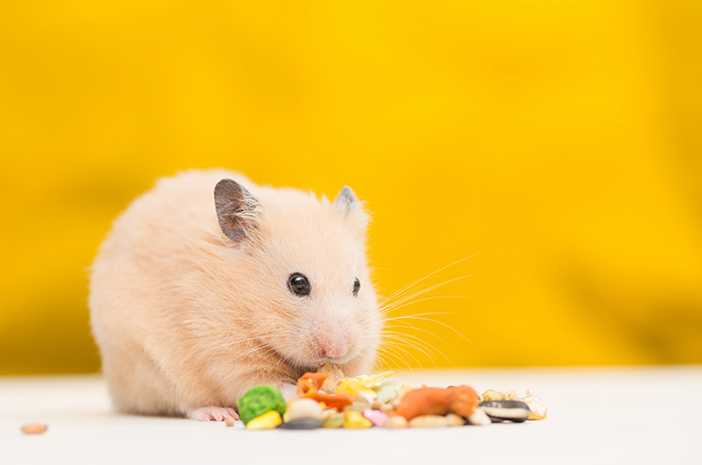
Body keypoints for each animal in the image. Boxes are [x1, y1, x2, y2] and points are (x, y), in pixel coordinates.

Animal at [89, 170, 382, 420]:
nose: (338, 350)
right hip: (150, 368)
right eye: (298, 283)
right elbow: (266, 382)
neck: (244, 301)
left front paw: (350, 386)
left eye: (357, 285)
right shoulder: (226, 354)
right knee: (184, 402)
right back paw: (218, 414)